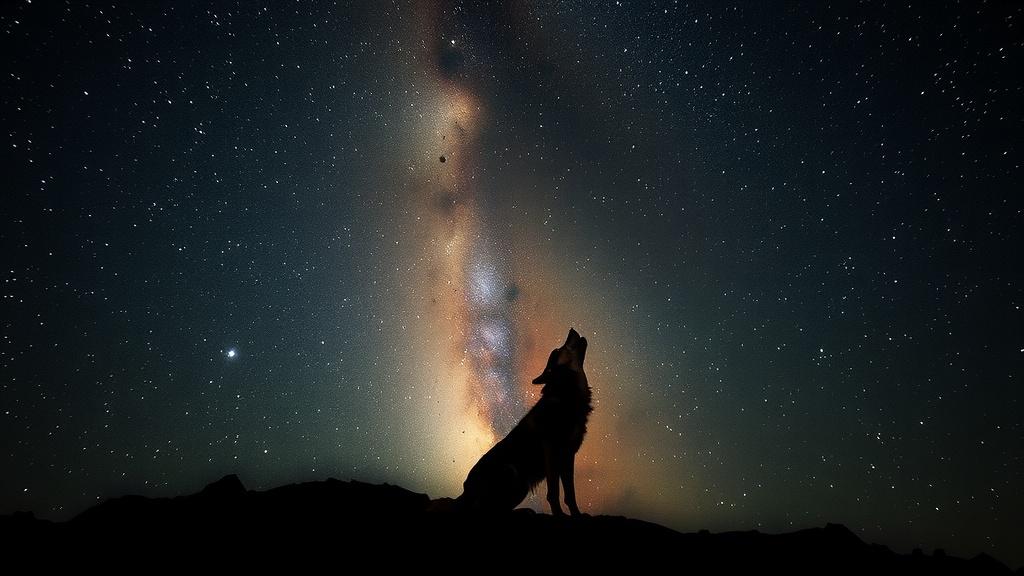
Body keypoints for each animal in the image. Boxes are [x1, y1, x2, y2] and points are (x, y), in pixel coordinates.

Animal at [456, 330, 593, 512]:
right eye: (558, 350)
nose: (571, 329)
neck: (566, 394)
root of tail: (465, 490)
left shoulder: (568, 455)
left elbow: (570, 494)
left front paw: (576, 514)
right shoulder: (551, 452)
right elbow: (554, 492)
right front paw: (559, 514)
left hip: (521, 487)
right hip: (512, 473)